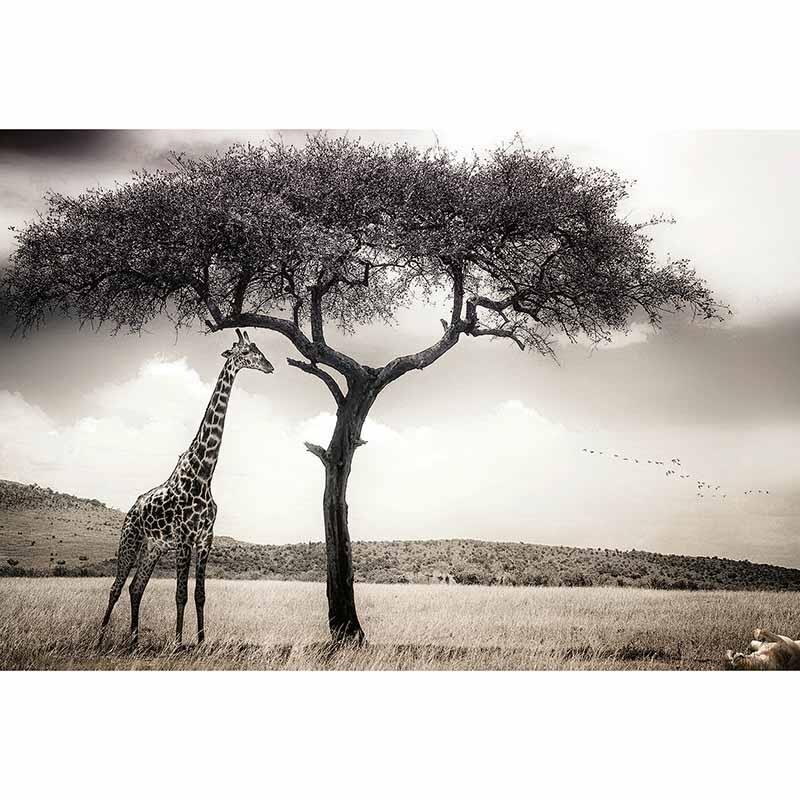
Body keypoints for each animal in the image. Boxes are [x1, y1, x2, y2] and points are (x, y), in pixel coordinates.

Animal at [98, 329, 274, 650]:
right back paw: (100, 637)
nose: (269, 366)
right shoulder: (183, 539)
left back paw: (134, 640)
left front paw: (202, 641)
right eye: (247, 352)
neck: (203, 475)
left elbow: (199, 595)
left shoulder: (205, 539)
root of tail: (131, 509)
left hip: (152, 547)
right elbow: (180, 594)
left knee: (135, 588)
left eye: (259, 349)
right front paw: (179, 643)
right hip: (130, 540)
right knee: (116, 587)